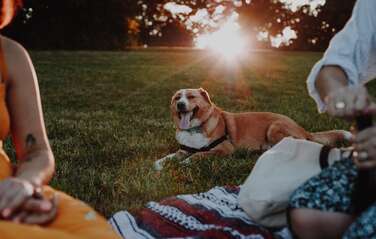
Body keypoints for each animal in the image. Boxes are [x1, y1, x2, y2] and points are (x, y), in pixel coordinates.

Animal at [154, 88, 352, 171]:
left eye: (191, 97)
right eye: (177, 98)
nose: (180, 105)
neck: (195, 128)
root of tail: (303, 130)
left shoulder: (224, 149)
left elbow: (200, 154)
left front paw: (185, 163)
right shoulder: (183, 149)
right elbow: (170, 156)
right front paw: (159, 164)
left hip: (275, 127)